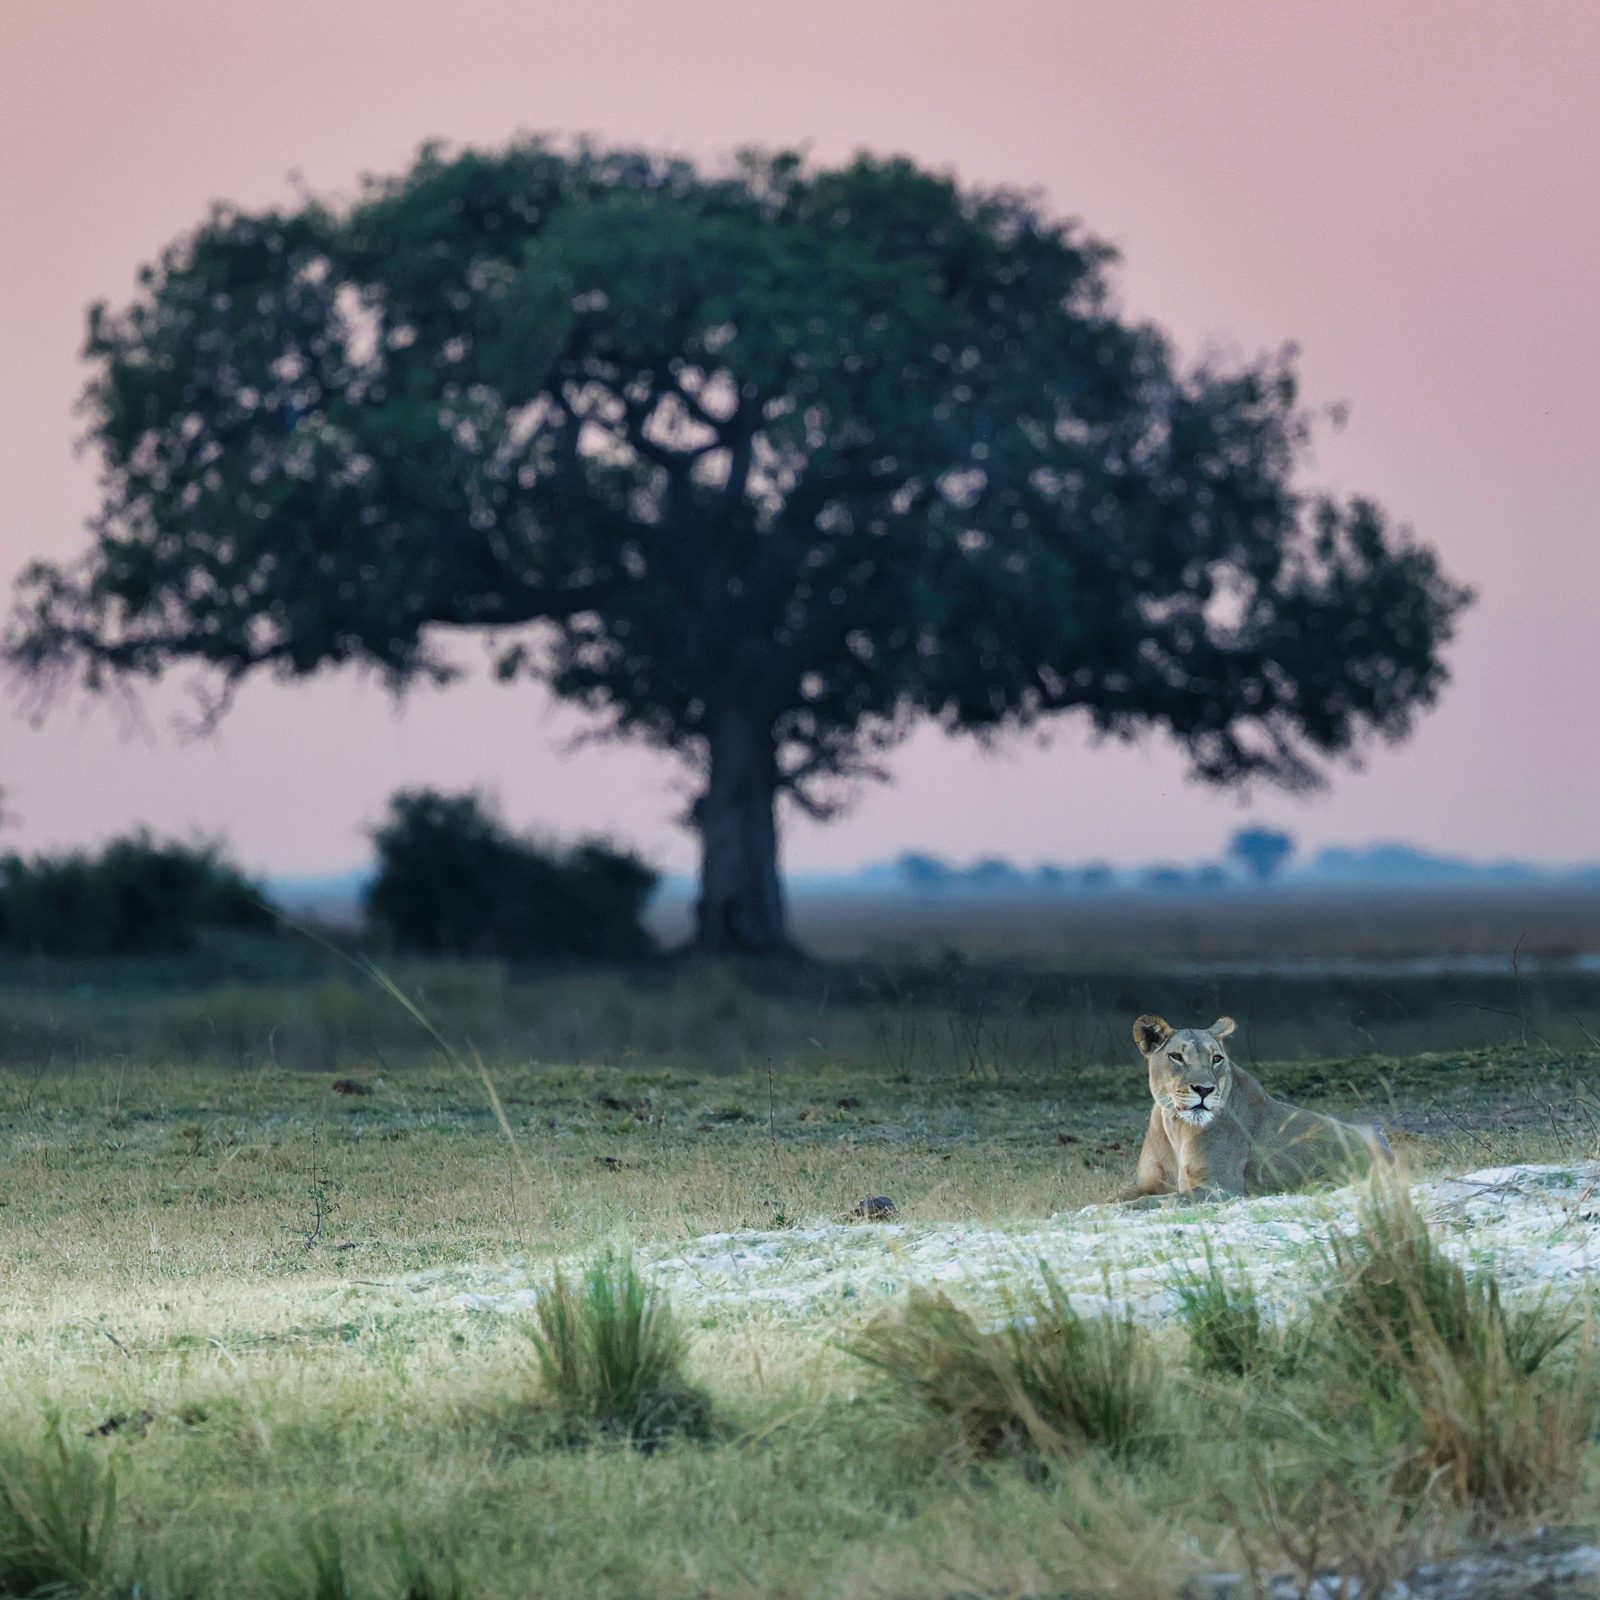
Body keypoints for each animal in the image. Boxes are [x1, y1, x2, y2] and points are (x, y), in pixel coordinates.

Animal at [1099, 1014, 1392, 1207]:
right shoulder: (1145, 1183)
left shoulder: (1220, 1188)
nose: (1204, 1090)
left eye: (1216, 1058)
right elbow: (1116, 1195)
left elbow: (1156, 1201)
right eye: (1176, 1057)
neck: (1175, 1125)